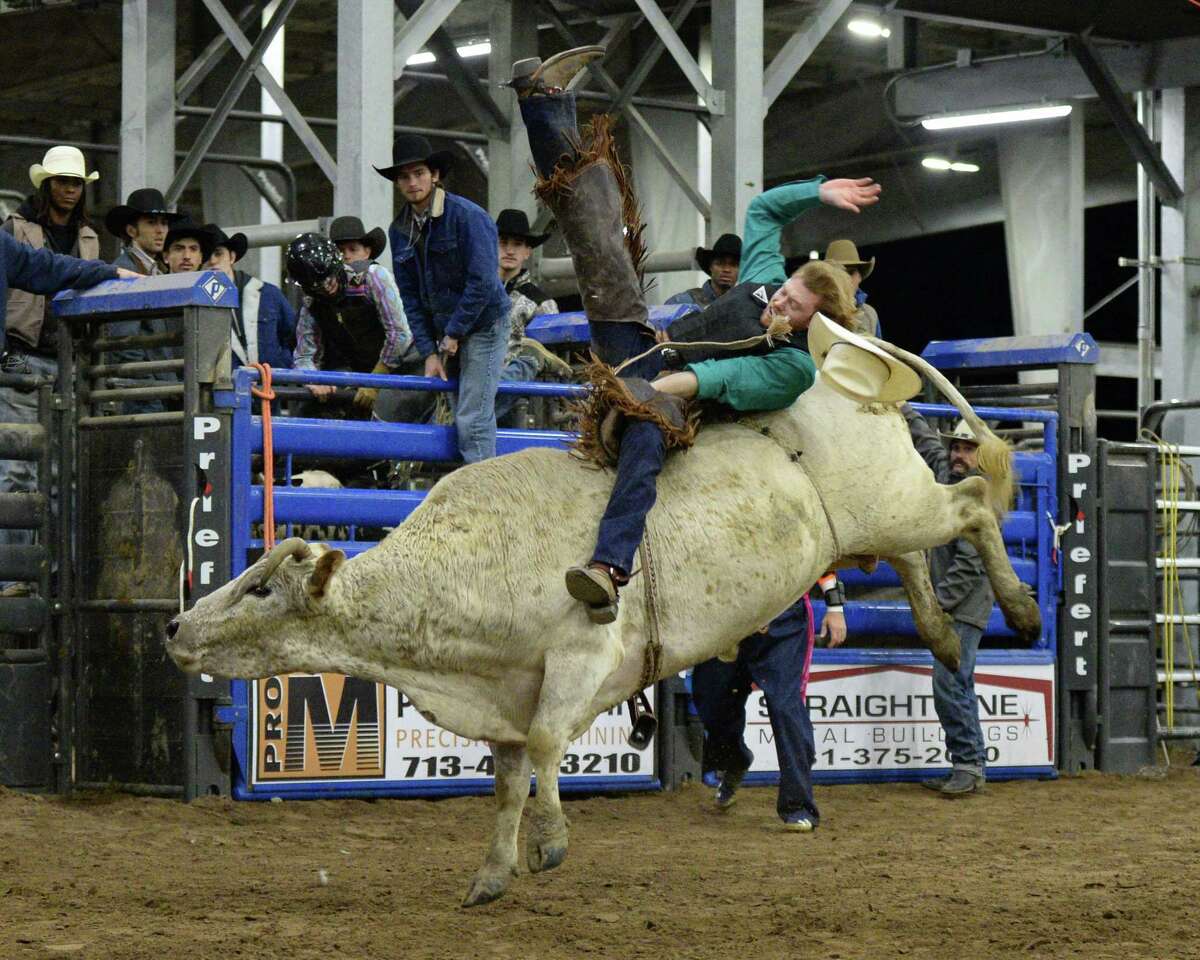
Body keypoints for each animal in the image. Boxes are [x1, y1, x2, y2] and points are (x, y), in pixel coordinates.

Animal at [166, 345, 1041, 907]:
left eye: (260, 590)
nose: (176, 628)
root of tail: (846, 380)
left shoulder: (579, 660)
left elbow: (551, 746)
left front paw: (550, 845)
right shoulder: (506, 694)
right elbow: (508, 781)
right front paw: (491, 877)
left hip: (897, 500)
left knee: (972, 503)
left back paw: (1023, 607)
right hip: (876, 523)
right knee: (918, 553)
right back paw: (938, 633)